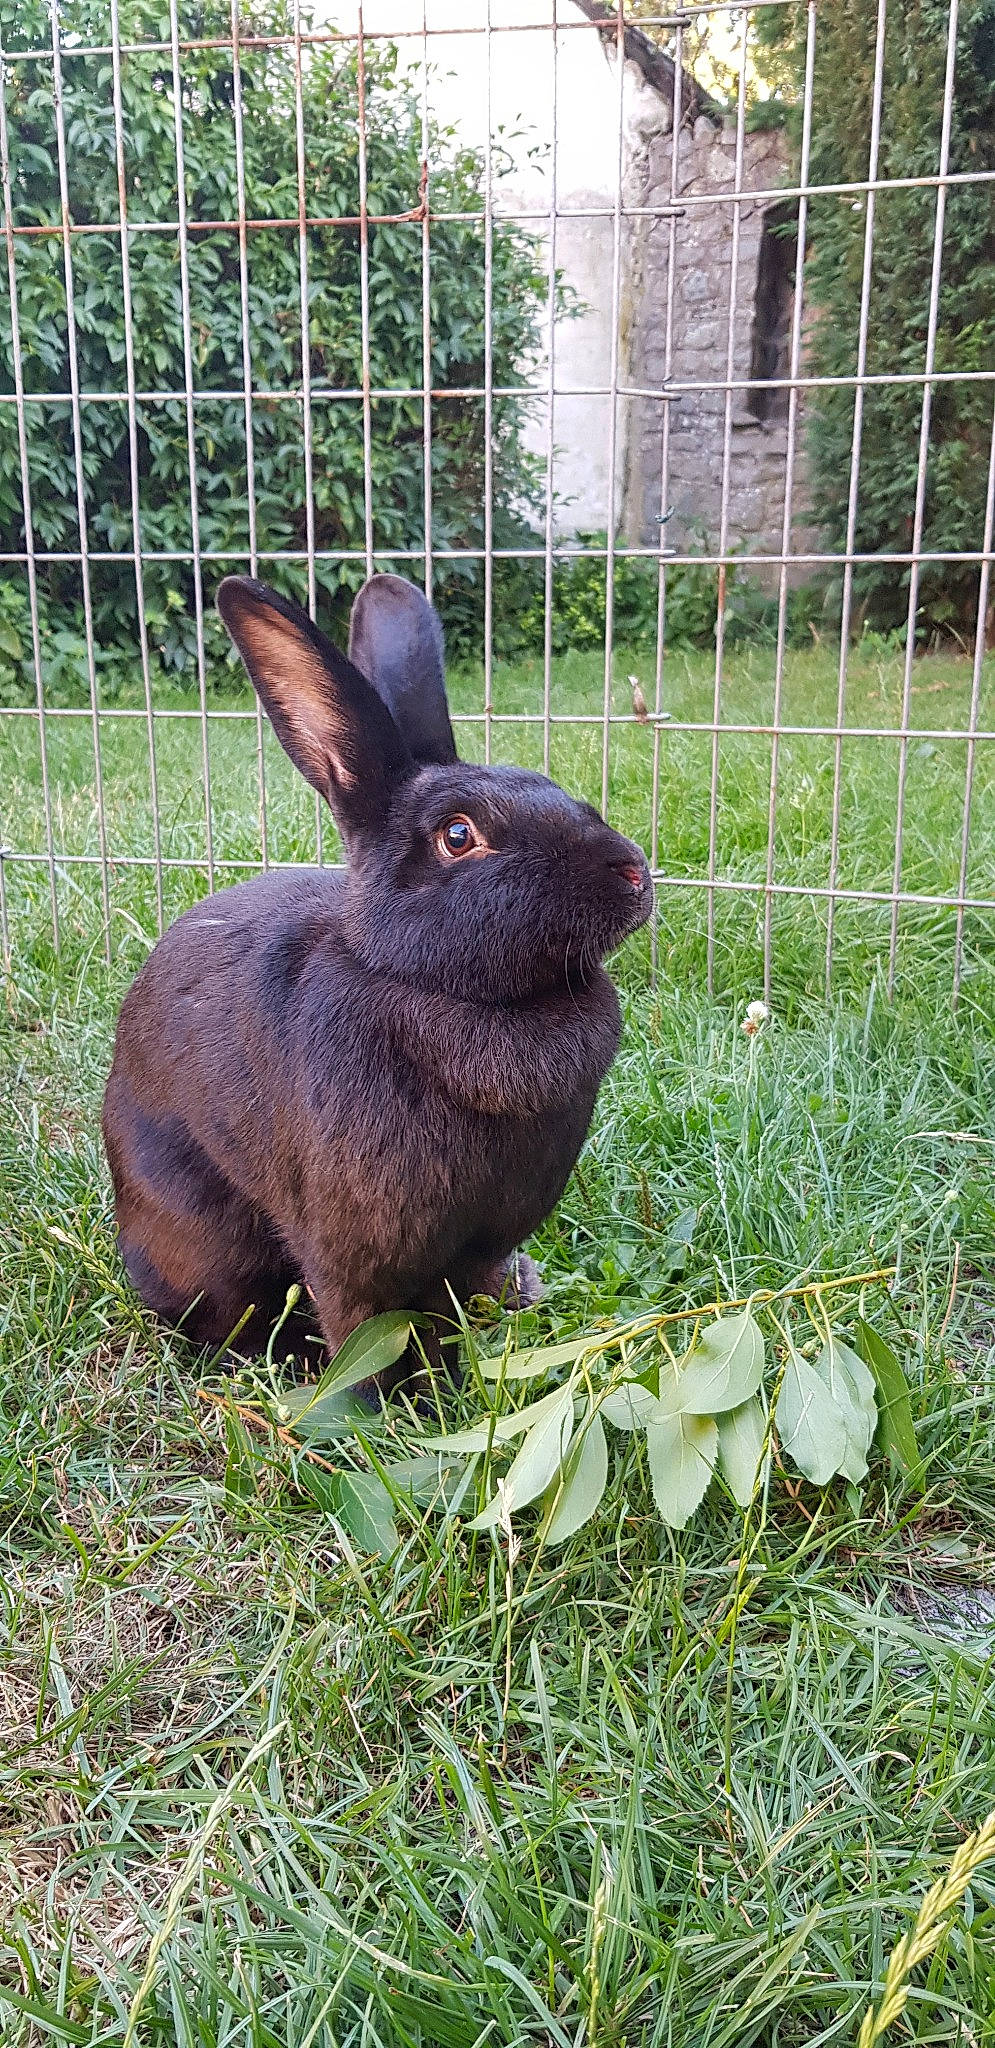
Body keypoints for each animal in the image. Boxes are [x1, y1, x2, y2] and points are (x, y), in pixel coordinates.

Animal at [102, 572, 652, 1395]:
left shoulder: (476, 1242)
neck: (440, 990)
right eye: (458, 836)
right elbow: (364, 1322)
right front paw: (392, 1405)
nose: (633, 872)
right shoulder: (352, 1250)